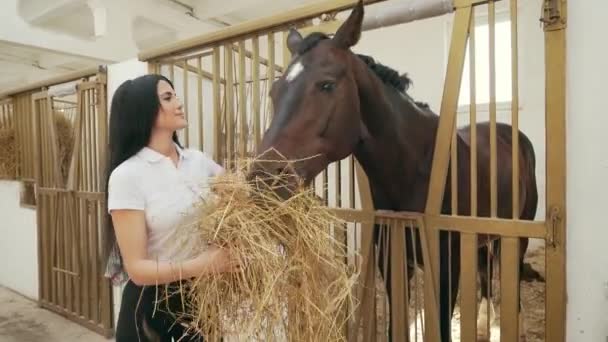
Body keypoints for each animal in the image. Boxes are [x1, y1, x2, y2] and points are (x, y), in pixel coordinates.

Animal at [249, 1, 540, 340]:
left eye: (326, 85)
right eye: (274, 91)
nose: (262, 180)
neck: (413, 166)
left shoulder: (446, 266)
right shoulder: (391, 260)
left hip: (517, 232)